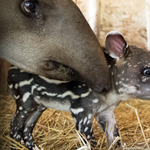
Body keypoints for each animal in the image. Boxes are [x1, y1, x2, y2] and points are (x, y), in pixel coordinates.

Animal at [7, 31, 150, 149]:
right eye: (147, 71)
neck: (110, 95)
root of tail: (10, 69)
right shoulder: (81, 109)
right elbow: (89, 140)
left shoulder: (106, 111)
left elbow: (114, 136)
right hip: (24, 97)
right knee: (15, 124)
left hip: (39, 104)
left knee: (27, 126)